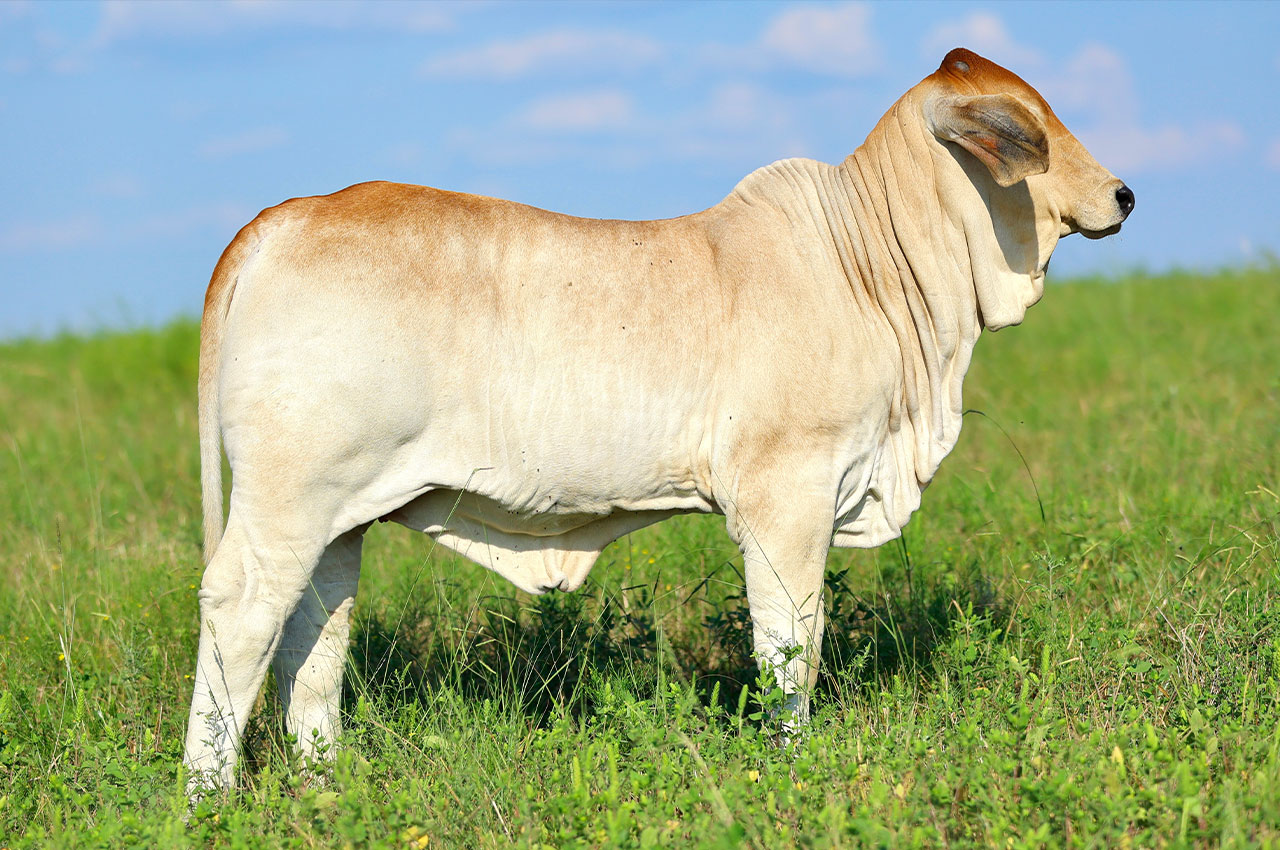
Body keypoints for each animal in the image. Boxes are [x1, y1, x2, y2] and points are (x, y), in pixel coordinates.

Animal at [183, 48, 1133, 793]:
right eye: (1033, 124)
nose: (1124, 195)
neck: (869, 263)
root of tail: (283, 217)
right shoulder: (788, 500)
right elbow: (791, 646)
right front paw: (793, 765)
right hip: (287, 502)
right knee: (241, 615)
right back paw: (206, 796)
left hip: (339, 517)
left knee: (313, 632)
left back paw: (323, 783)